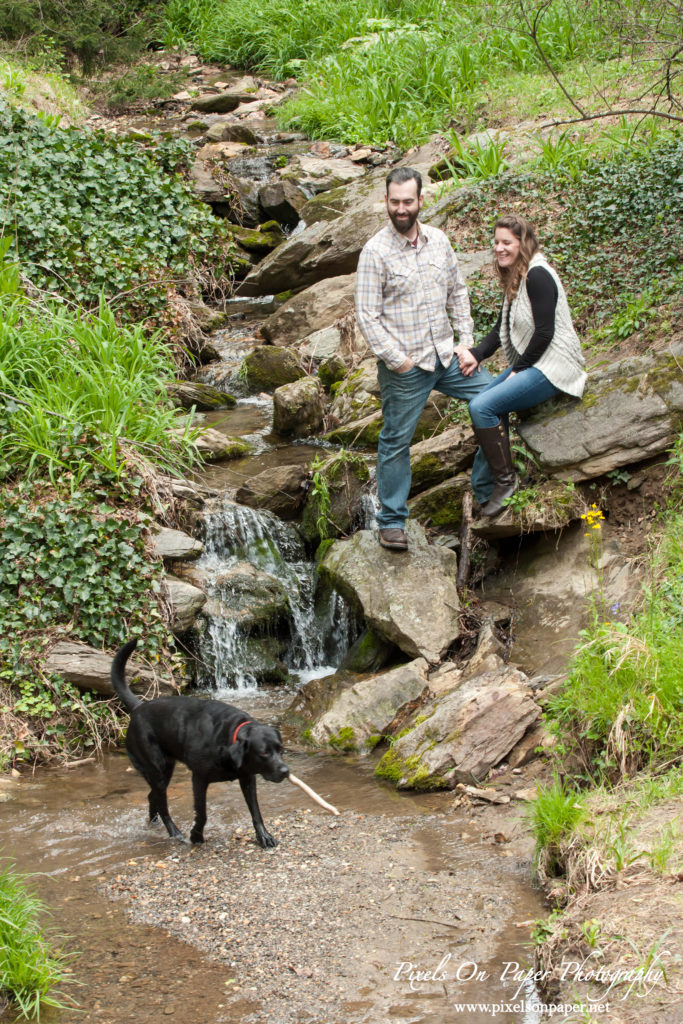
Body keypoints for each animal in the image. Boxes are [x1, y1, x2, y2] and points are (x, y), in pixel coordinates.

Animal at [109, 638, 288, 847]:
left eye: (281, 749)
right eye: (264, 753)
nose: (286, 771)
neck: (228, 737)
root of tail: (138, 707)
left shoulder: (247, 778)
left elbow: (256, 811)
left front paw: (264, 836)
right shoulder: (199, 778)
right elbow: (202, 813)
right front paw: (196, 835)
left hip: (164, 769)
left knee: (152, 797)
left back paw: (154, 824)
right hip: (156, 768)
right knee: (161, 802)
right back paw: (175, 832)